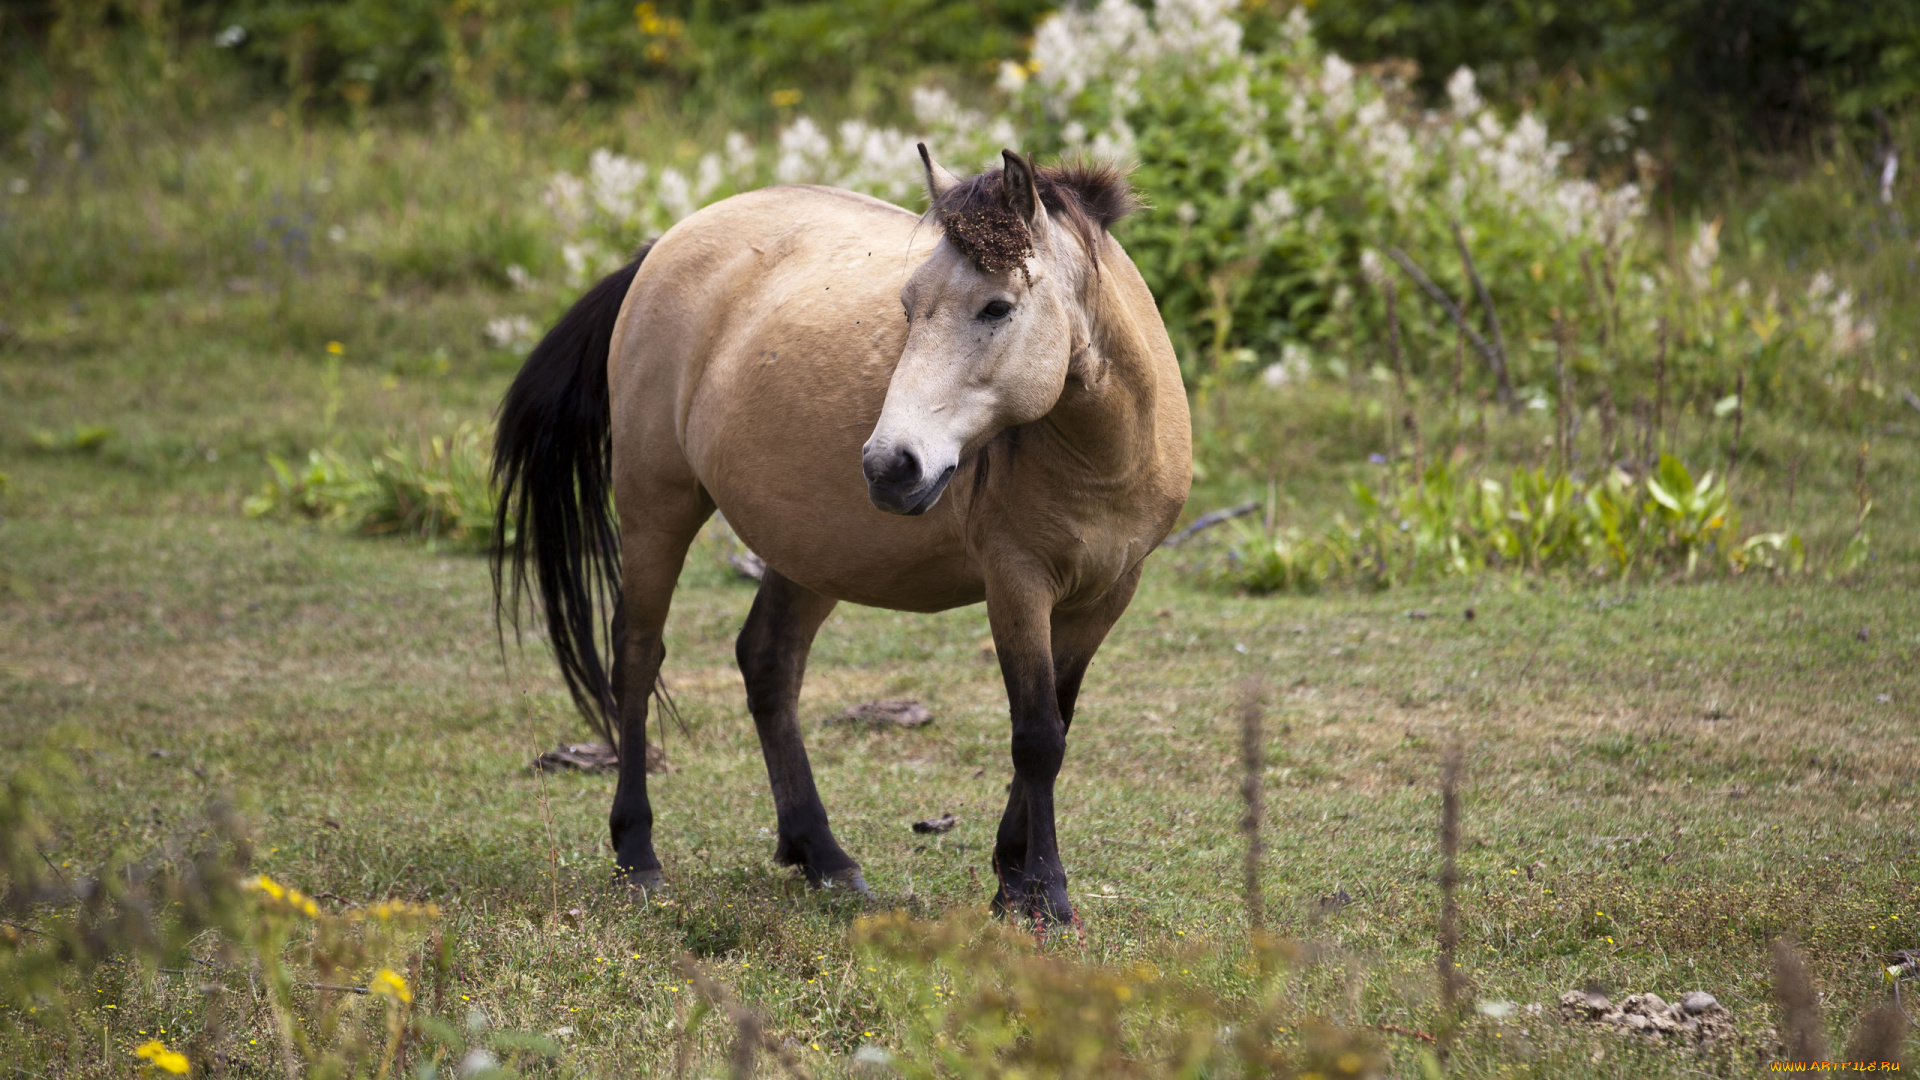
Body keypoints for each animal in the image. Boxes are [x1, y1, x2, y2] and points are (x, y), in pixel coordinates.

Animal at [487, 141, 1190, 914]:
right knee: (637, 658)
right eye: (908, 305)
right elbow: (1036, 735)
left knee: (768, 662)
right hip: (656, 506)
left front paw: (1013, 876)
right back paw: (638, 853)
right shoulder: (1017, 584)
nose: (889, 466)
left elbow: (1055, 722)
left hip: (809, 551)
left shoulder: (1107, 594)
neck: (1105, 452)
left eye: (997, 306)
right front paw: (1044, 897)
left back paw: (819, 853)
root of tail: (664, 246)